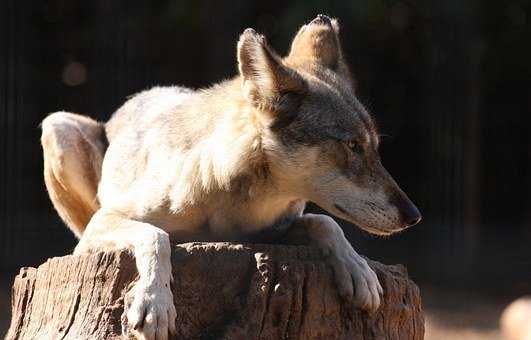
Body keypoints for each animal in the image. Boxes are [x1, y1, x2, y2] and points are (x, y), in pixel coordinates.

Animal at [40, 14, 420, 338]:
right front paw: (154, 304)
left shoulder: (272, 234)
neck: (230, 202)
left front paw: (358, 270)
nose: (414, 216)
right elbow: (156, 236)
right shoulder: (103, 223)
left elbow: (324, 222)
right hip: (58, 127)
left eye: (373, 147)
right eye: (353, 146)